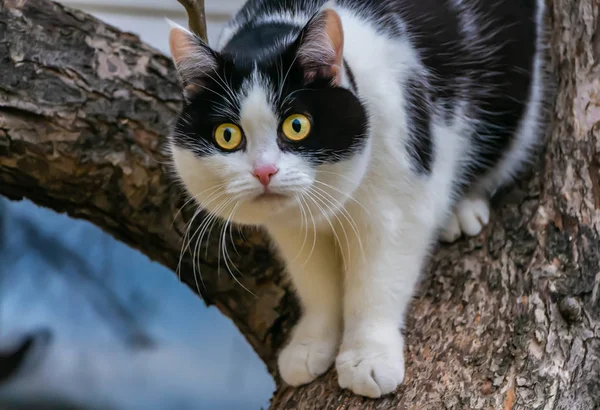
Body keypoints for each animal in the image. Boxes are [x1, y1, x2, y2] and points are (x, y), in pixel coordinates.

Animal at [168, 0, 548, 398]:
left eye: (297, 125)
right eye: (227, 135)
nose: (264, 172)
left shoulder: (399, 202)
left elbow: (377, 284)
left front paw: (369, 357)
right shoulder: (294, 229)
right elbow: (316, 285)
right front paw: (310, 345)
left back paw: (463, 208)